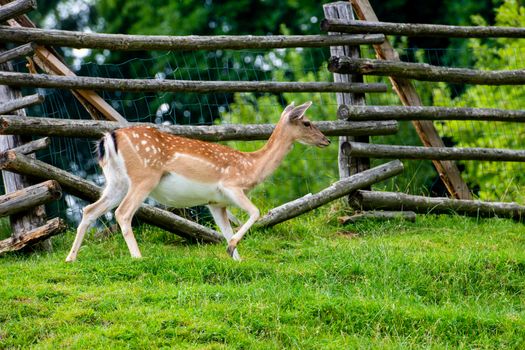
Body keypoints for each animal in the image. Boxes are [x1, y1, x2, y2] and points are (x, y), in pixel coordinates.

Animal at [64, 100, 328, 262]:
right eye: (307, 122)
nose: (326, 140)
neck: (251, 167)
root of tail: (108, 137)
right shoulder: (231, 186)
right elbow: (256, 212)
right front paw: (232, 248)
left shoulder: (215, 203)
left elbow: (226, 230)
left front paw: (235, 256)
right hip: (144, 176)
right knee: (122, 213)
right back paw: (138, 257)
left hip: (116, 181)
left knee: (90, 209)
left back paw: (71, 258)